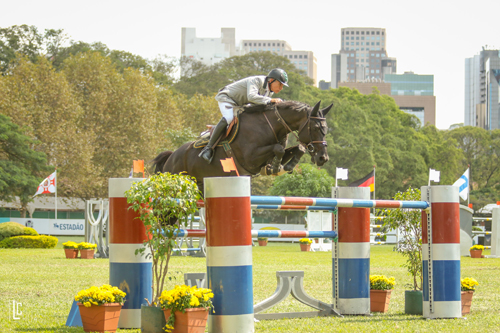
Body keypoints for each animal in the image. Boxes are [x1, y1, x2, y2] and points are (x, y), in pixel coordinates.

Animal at [152, 99, 332, 189]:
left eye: (326, 129)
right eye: (316, 127)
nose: (323, 158)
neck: (271, 125)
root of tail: (171, 156)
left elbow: (297, 149)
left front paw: (285, 166)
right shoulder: (250, 158)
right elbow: (279, 149)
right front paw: (276, 168)